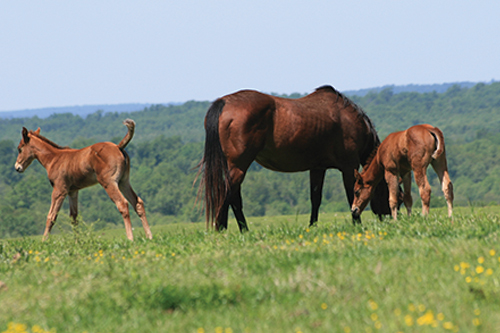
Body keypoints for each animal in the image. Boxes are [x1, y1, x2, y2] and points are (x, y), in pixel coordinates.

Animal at [15, 118, 152, 240]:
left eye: (20, 148)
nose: (17, 167)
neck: (54, 159)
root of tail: (118, 147)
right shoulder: (72, 191)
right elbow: (74, 217)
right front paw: (77, 243)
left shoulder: (59, 190)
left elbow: (51, 216)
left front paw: (44, 242)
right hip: (123, 182)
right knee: (138, 203)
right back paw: (149, 237)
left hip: (109, 182)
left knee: (122, 204)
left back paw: (130, 239)